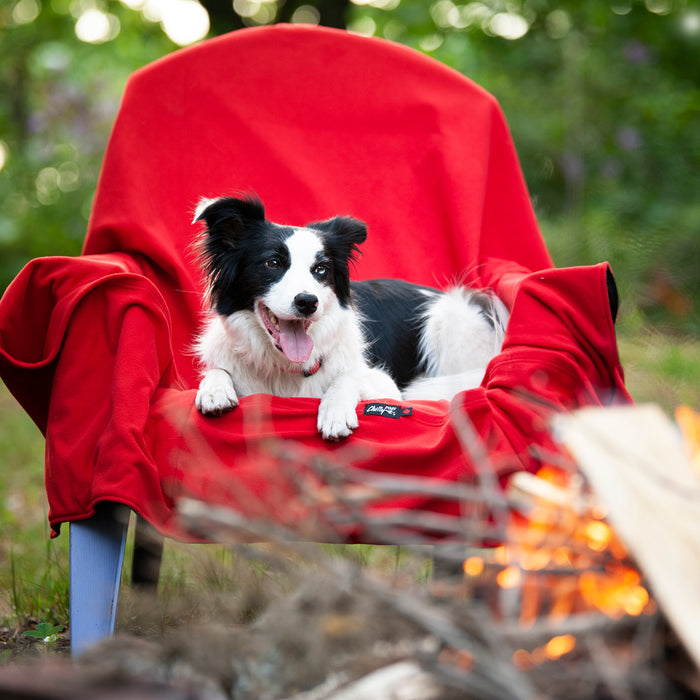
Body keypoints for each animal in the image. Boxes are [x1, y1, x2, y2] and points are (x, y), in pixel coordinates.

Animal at [193, 194, 508, 440]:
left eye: (321, 269)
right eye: (272, 263)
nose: (308, 302)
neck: (284, 368)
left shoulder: (386, 386)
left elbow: (347, 377)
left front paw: (334, 411)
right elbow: (218, 370)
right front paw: (214, 389)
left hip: (448, 322)